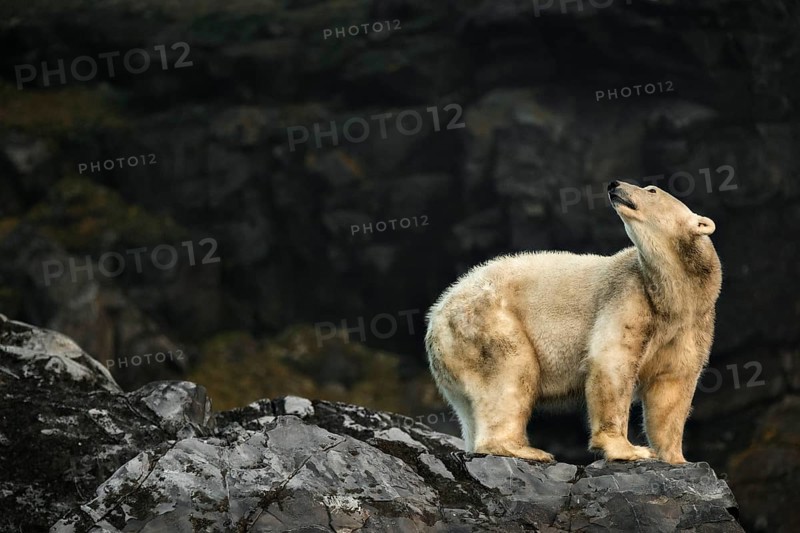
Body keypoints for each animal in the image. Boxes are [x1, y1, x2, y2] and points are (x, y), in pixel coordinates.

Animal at [424, 180, 722, 464]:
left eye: (652, 190)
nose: (614, 185)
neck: (673, 296)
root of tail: (436, 315)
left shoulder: (691, 325)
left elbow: (672, 387)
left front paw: (677, 458)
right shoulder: (629, 296)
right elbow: (611, 363)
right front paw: (630, 450)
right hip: (485, 322)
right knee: (511, 374)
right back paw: (525, 450)